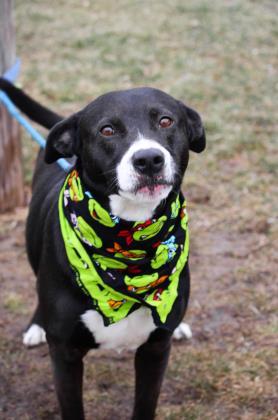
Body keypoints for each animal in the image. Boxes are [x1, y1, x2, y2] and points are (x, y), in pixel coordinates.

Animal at [0, 79, 204, 420]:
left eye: (166, 121)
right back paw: (36, 326)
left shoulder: (155, 350)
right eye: (107, 130)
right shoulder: (65, 355)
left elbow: (145, 405)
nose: (149, 159)